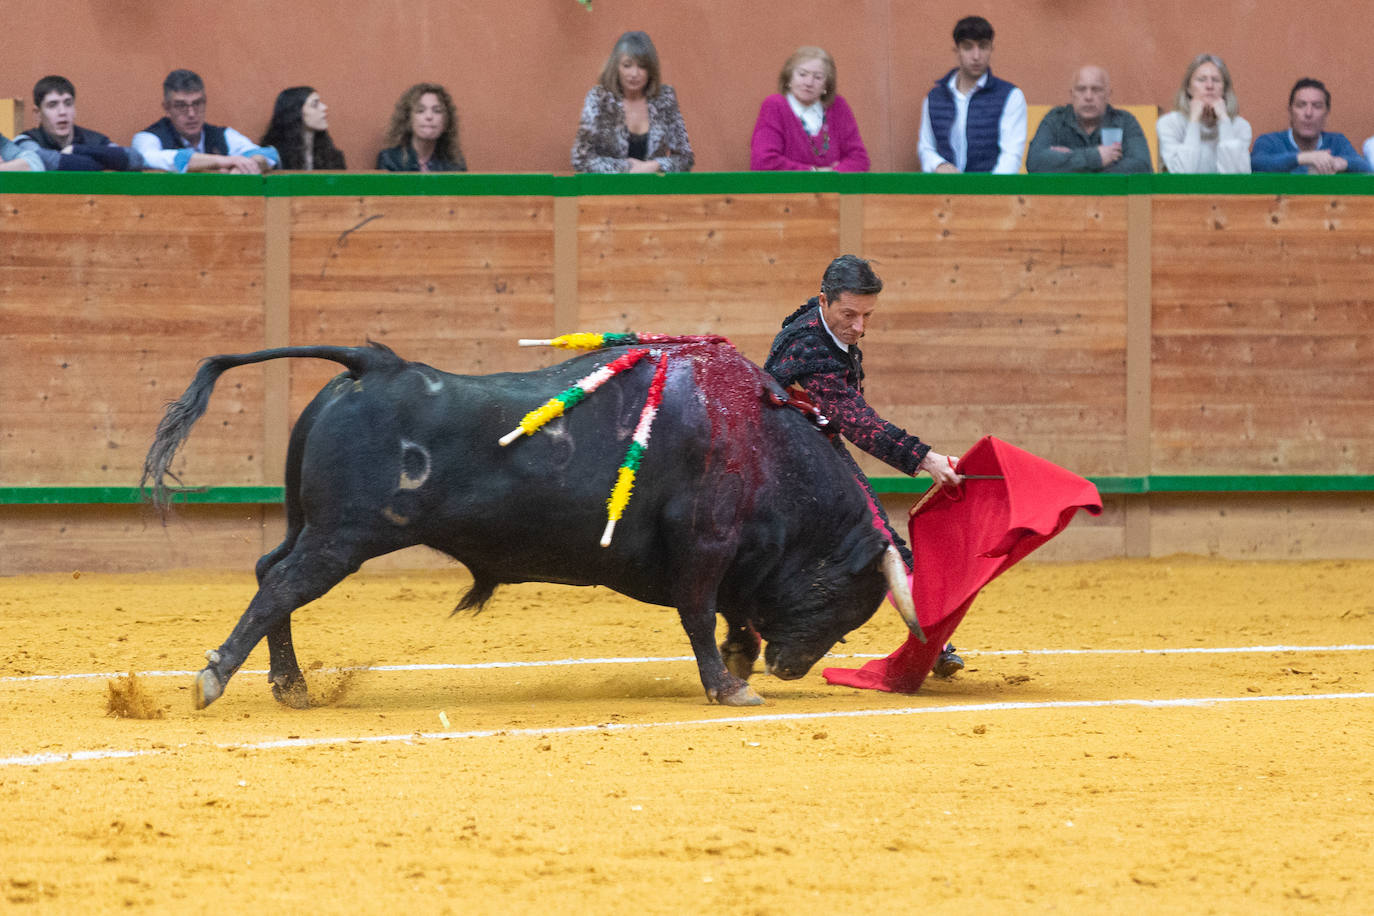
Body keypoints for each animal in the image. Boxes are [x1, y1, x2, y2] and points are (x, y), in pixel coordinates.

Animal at [142, 343, 923, 708]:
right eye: (846, 600)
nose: (794, 667)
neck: (758, 436)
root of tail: (374, 365)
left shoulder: (725, 558)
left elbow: (732, 617)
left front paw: (738, 666)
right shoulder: (704, 543)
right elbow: (701, 615)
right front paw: (731, 685)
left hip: (312, 525)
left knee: (271, 571)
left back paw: (291, 685)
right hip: (344, 537)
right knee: (284, 585)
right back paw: (214, 677)